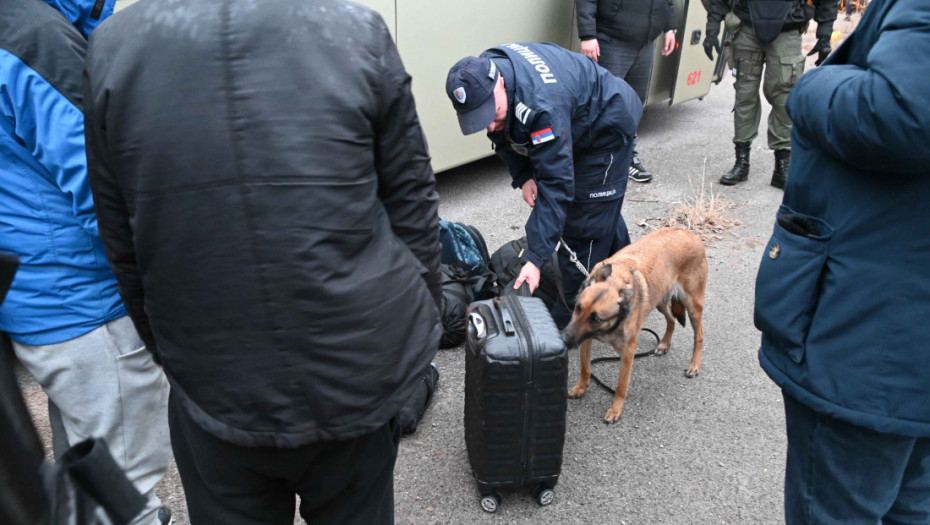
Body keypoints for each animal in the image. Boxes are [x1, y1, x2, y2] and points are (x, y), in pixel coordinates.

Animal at [560, 227, 704, 424]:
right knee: (671, 319)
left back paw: (694, 365)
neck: (616, 280)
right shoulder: (585, 340)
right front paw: (581, 387)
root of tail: (687, 232)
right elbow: (585, 367)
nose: (564, 339)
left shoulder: (628, 352)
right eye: (577, 307)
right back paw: (664, 344)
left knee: (699, 335)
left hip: (692, 306)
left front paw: (615, 409)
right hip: (658, 300)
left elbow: (621, 385)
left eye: (596, 319)